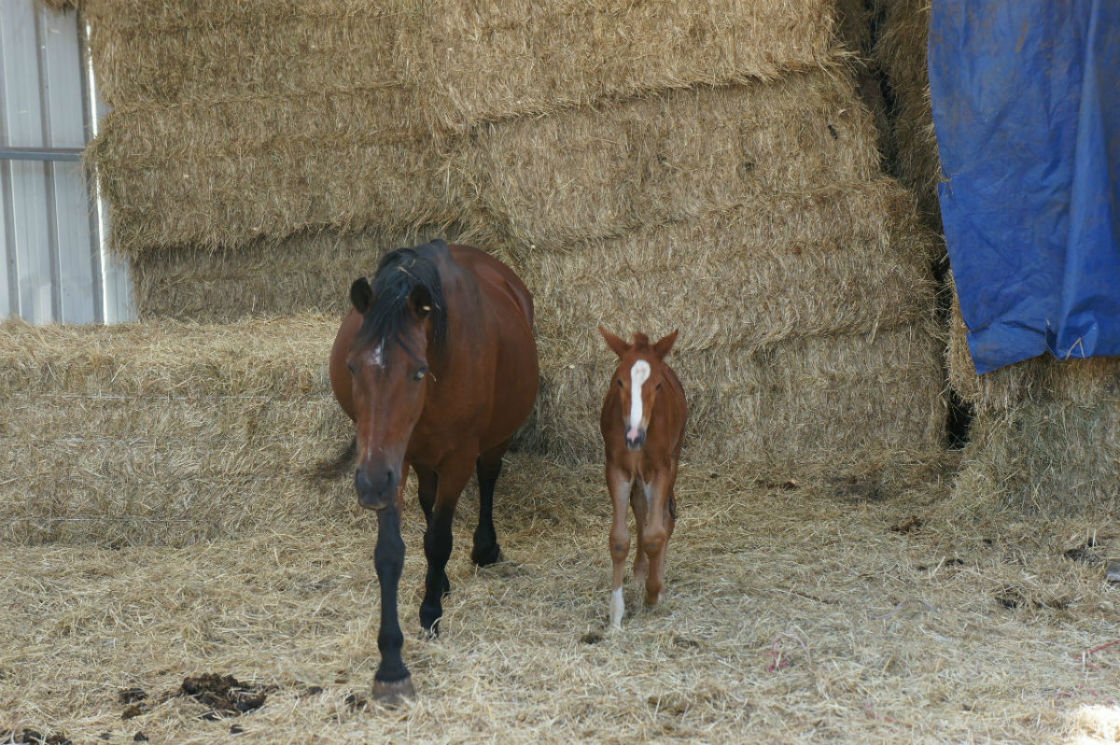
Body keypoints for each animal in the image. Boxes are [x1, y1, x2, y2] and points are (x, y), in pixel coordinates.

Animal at [600, 327, 685, 627]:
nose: (634, 437)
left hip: (673, 460)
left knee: (664, 519)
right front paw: (616, 613)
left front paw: (653, 592)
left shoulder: (659, 469)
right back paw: (639, 572)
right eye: (618, 381)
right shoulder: (617, 469)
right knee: (640, 509)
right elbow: (619, 539)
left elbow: (655, 535)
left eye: (658, 385)